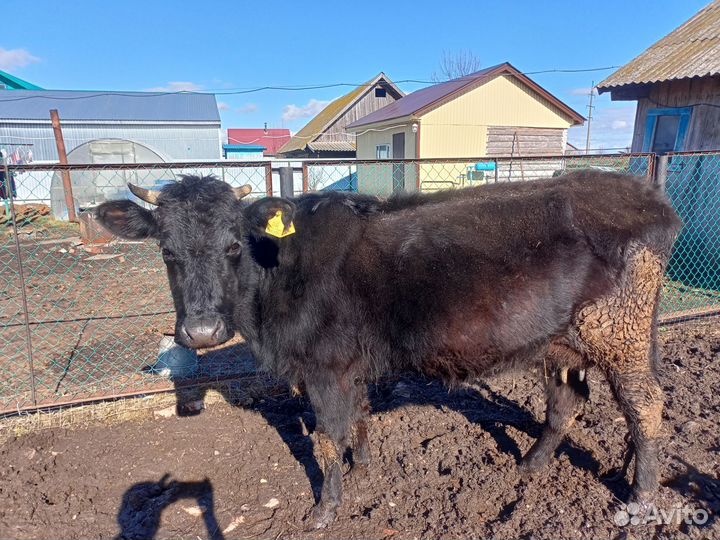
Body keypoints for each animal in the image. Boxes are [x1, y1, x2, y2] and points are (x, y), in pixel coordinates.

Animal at [96, 171, 681, 528]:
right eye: (166, 252)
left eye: (233, 245)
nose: (200, 332)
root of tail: (644, 194)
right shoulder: (345, 364)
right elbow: (357, 418)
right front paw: (363, 471)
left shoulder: (324, 366)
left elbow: (327, 435)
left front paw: (325, 509)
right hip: (562, 342)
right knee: (566, 402)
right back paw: (532, 467)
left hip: (620, 332)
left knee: (645, 405)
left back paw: (642, 496)